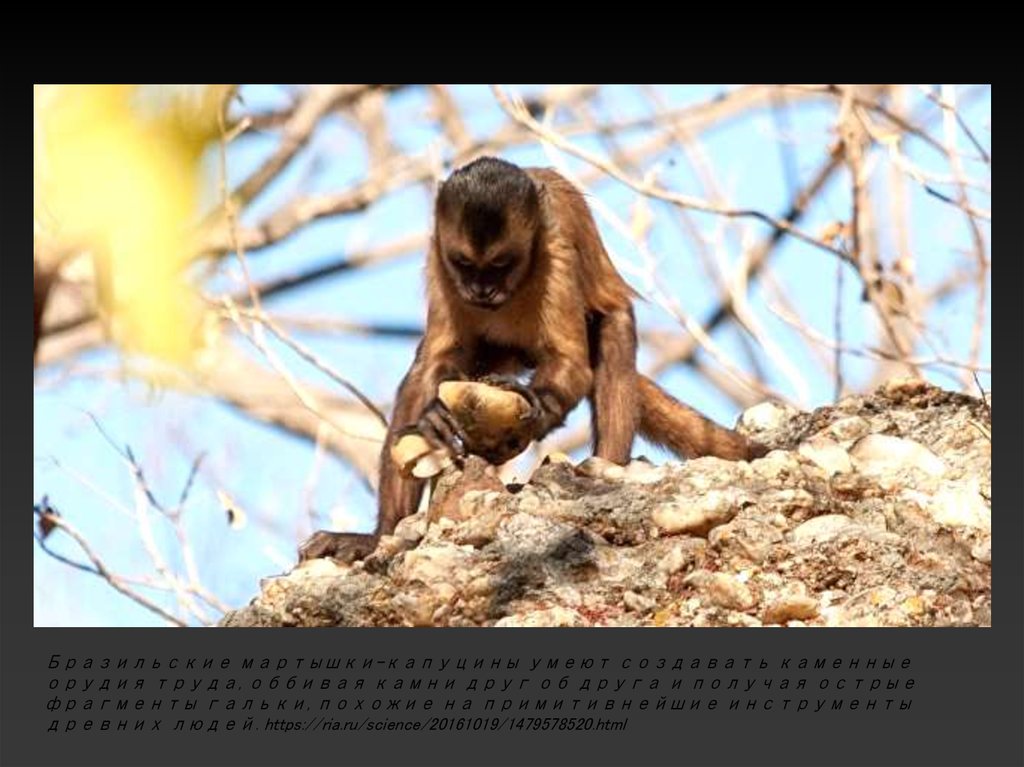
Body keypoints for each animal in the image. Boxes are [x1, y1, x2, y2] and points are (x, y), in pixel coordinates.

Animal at [298, 157, 766, 563]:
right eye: (464, 264)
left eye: (500, 265)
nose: (482, 290)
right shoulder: (438, 254)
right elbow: (434, 364)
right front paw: (434, 419)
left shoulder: (556, 248)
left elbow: (572, 363)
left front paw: (535, 407)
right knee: (424, 373)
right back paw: (380, 536)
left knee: (611, 332)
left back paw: (605, 466)